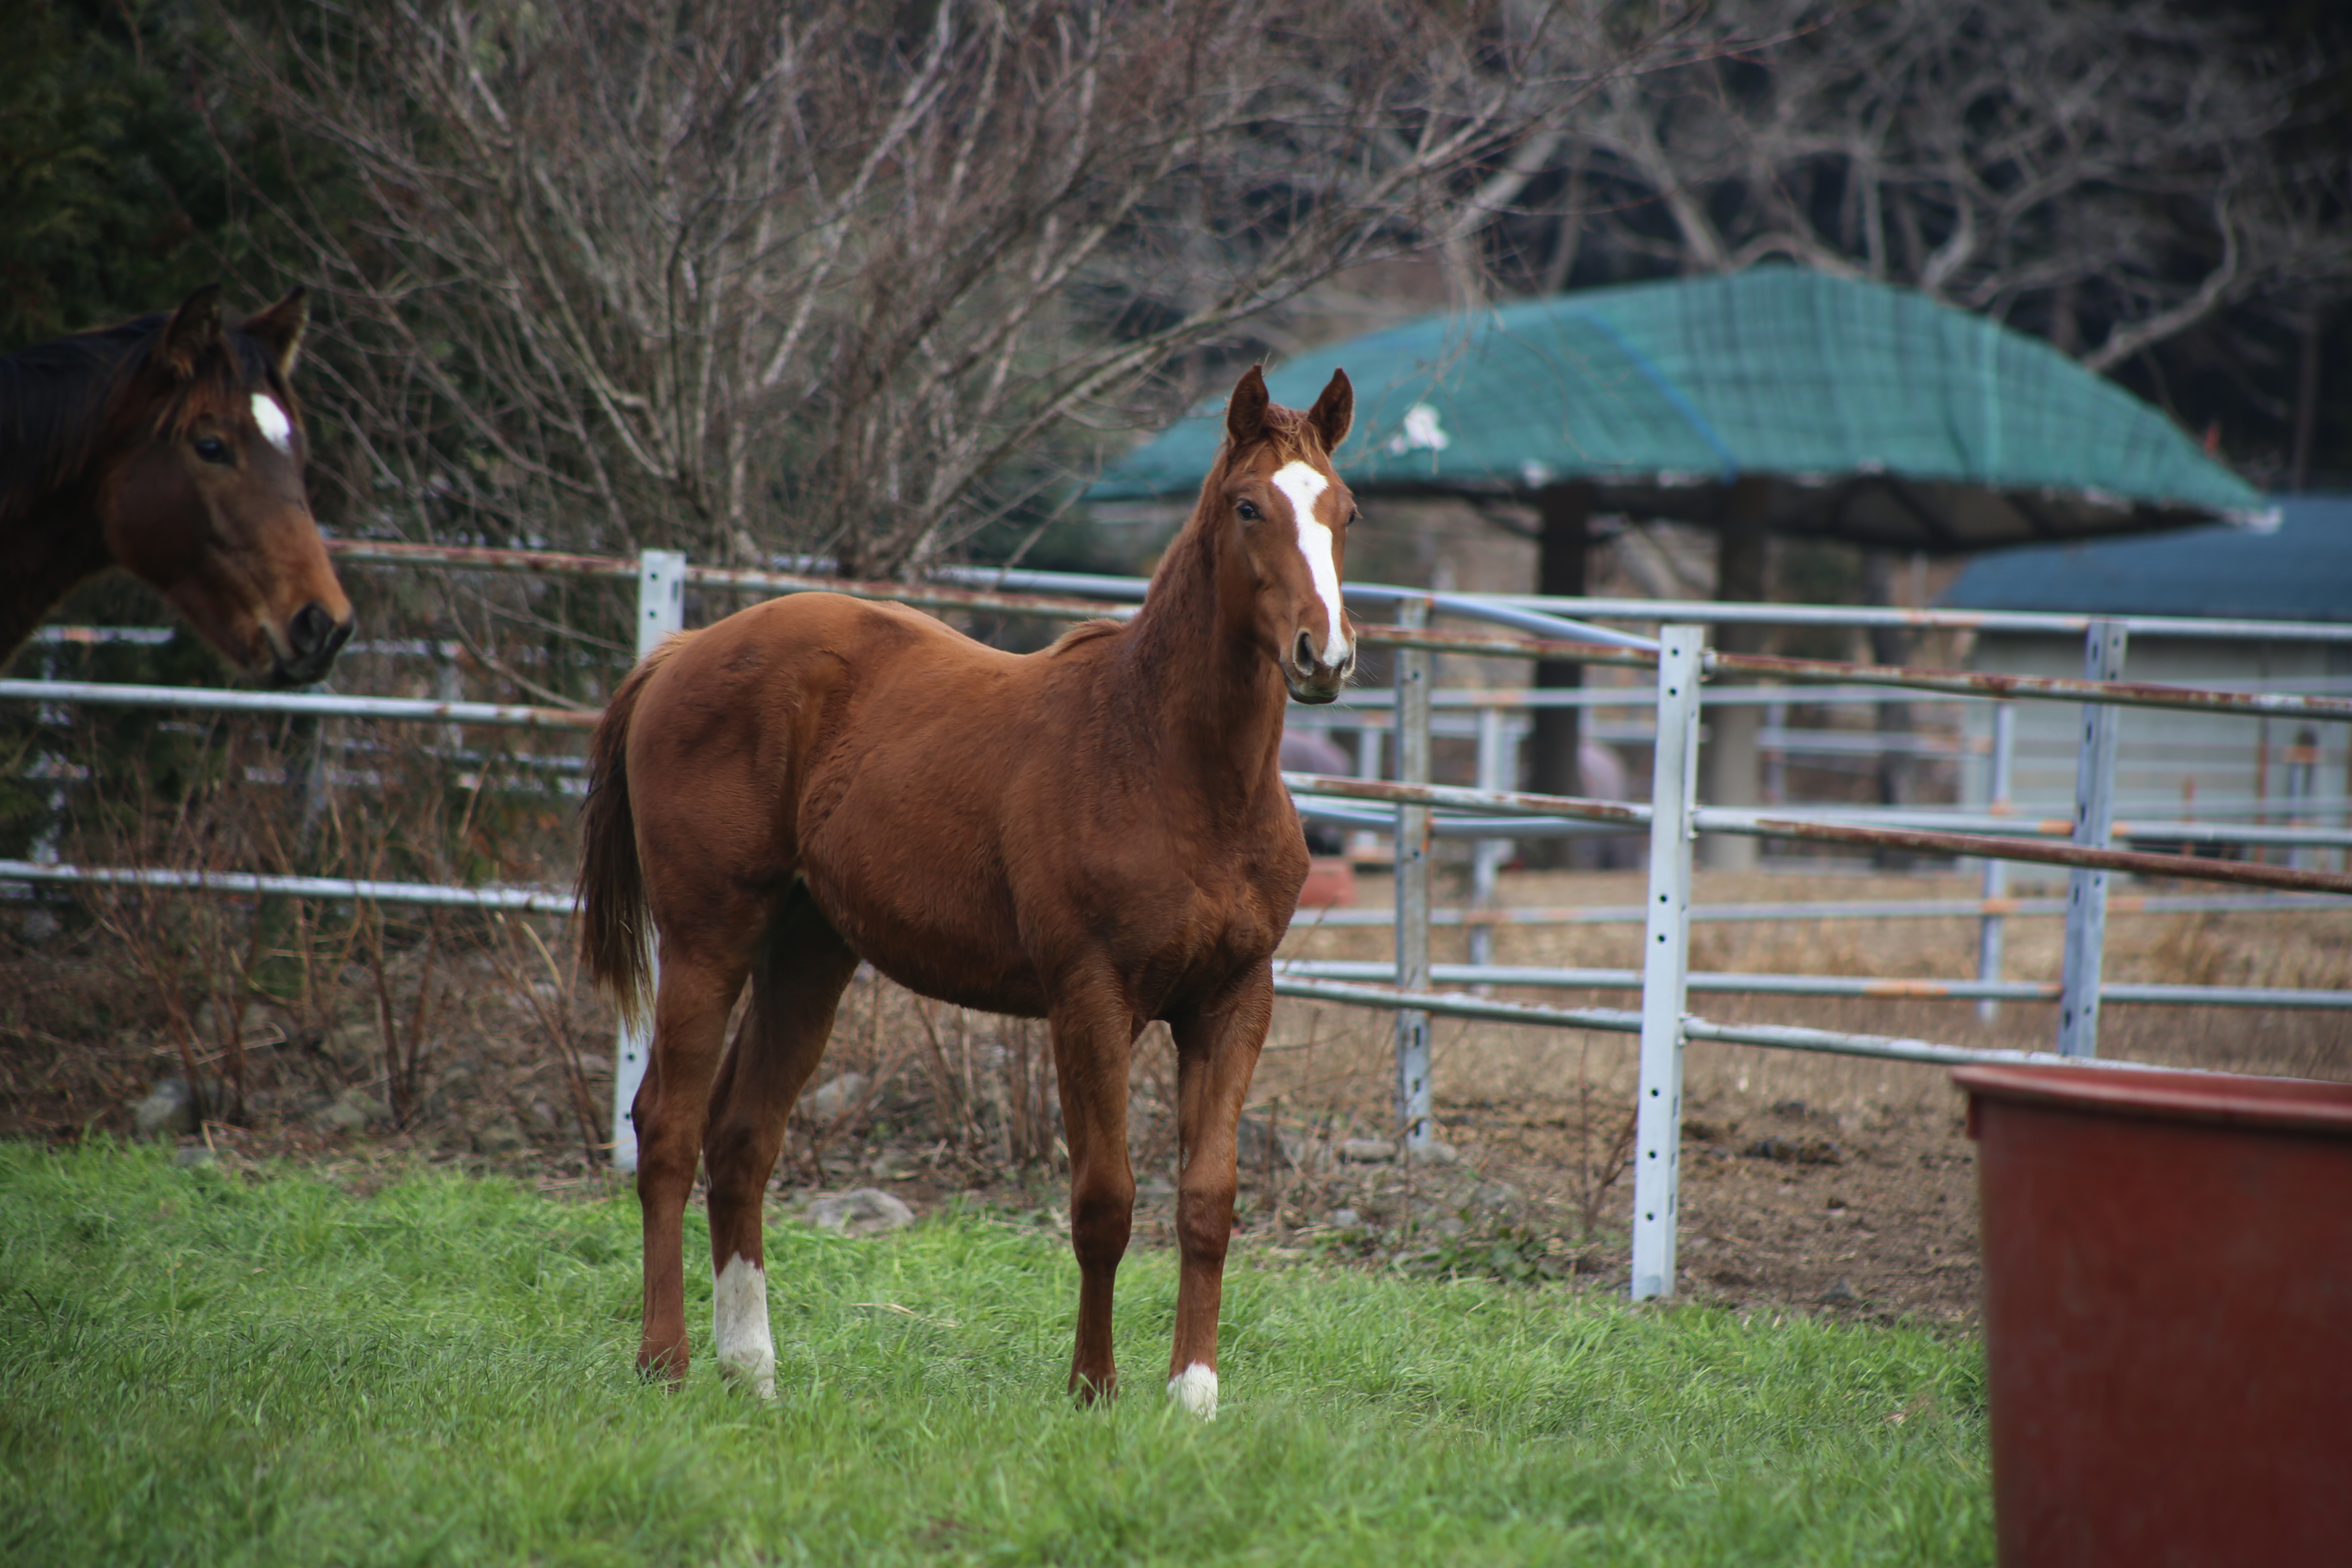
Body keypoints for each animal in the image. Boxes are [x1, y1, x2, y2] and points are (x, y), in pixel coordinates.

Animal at [578, 371, 1364, 1420]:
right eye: (1248, 508)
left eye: (1343, 511)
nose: (1325, 655)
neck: (1169, 762)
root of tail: (685, 650)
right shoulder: (1089, 998)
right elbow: (1104, 1200)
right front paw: (1092, 1387)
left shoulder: (1234, 1001)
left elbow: (1207, 1199)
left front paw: (1192, 1396)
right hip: (710, 936)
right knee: (666, 1123)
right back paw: (663, 1361)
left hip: (809, 952)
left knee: (742, 1137)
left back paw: (752, 1368)